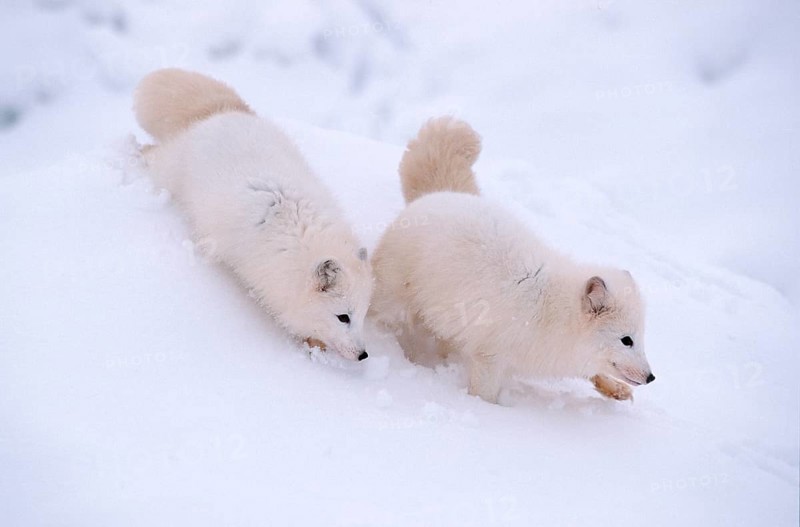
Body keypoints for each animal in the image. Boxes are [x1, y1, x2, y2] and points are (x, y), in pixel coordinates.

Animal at [134, 68, 372, 361]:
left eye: (362, 315)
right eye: (342, 317)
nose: (363, 355)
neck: (303, 236)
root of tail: (222, 112)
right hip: (169, 171)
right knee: (151, 154)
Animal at [369, 117, 655, 402]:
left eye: (641, 337)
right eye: (626, 340)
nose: (651, 377)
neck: (552, 310)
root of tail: (438, 194)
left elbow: (593, 371)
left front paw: (615, 388)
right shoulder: (490, 354)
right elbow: (484, 394)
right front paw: (487, 410)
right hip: (394, 298)